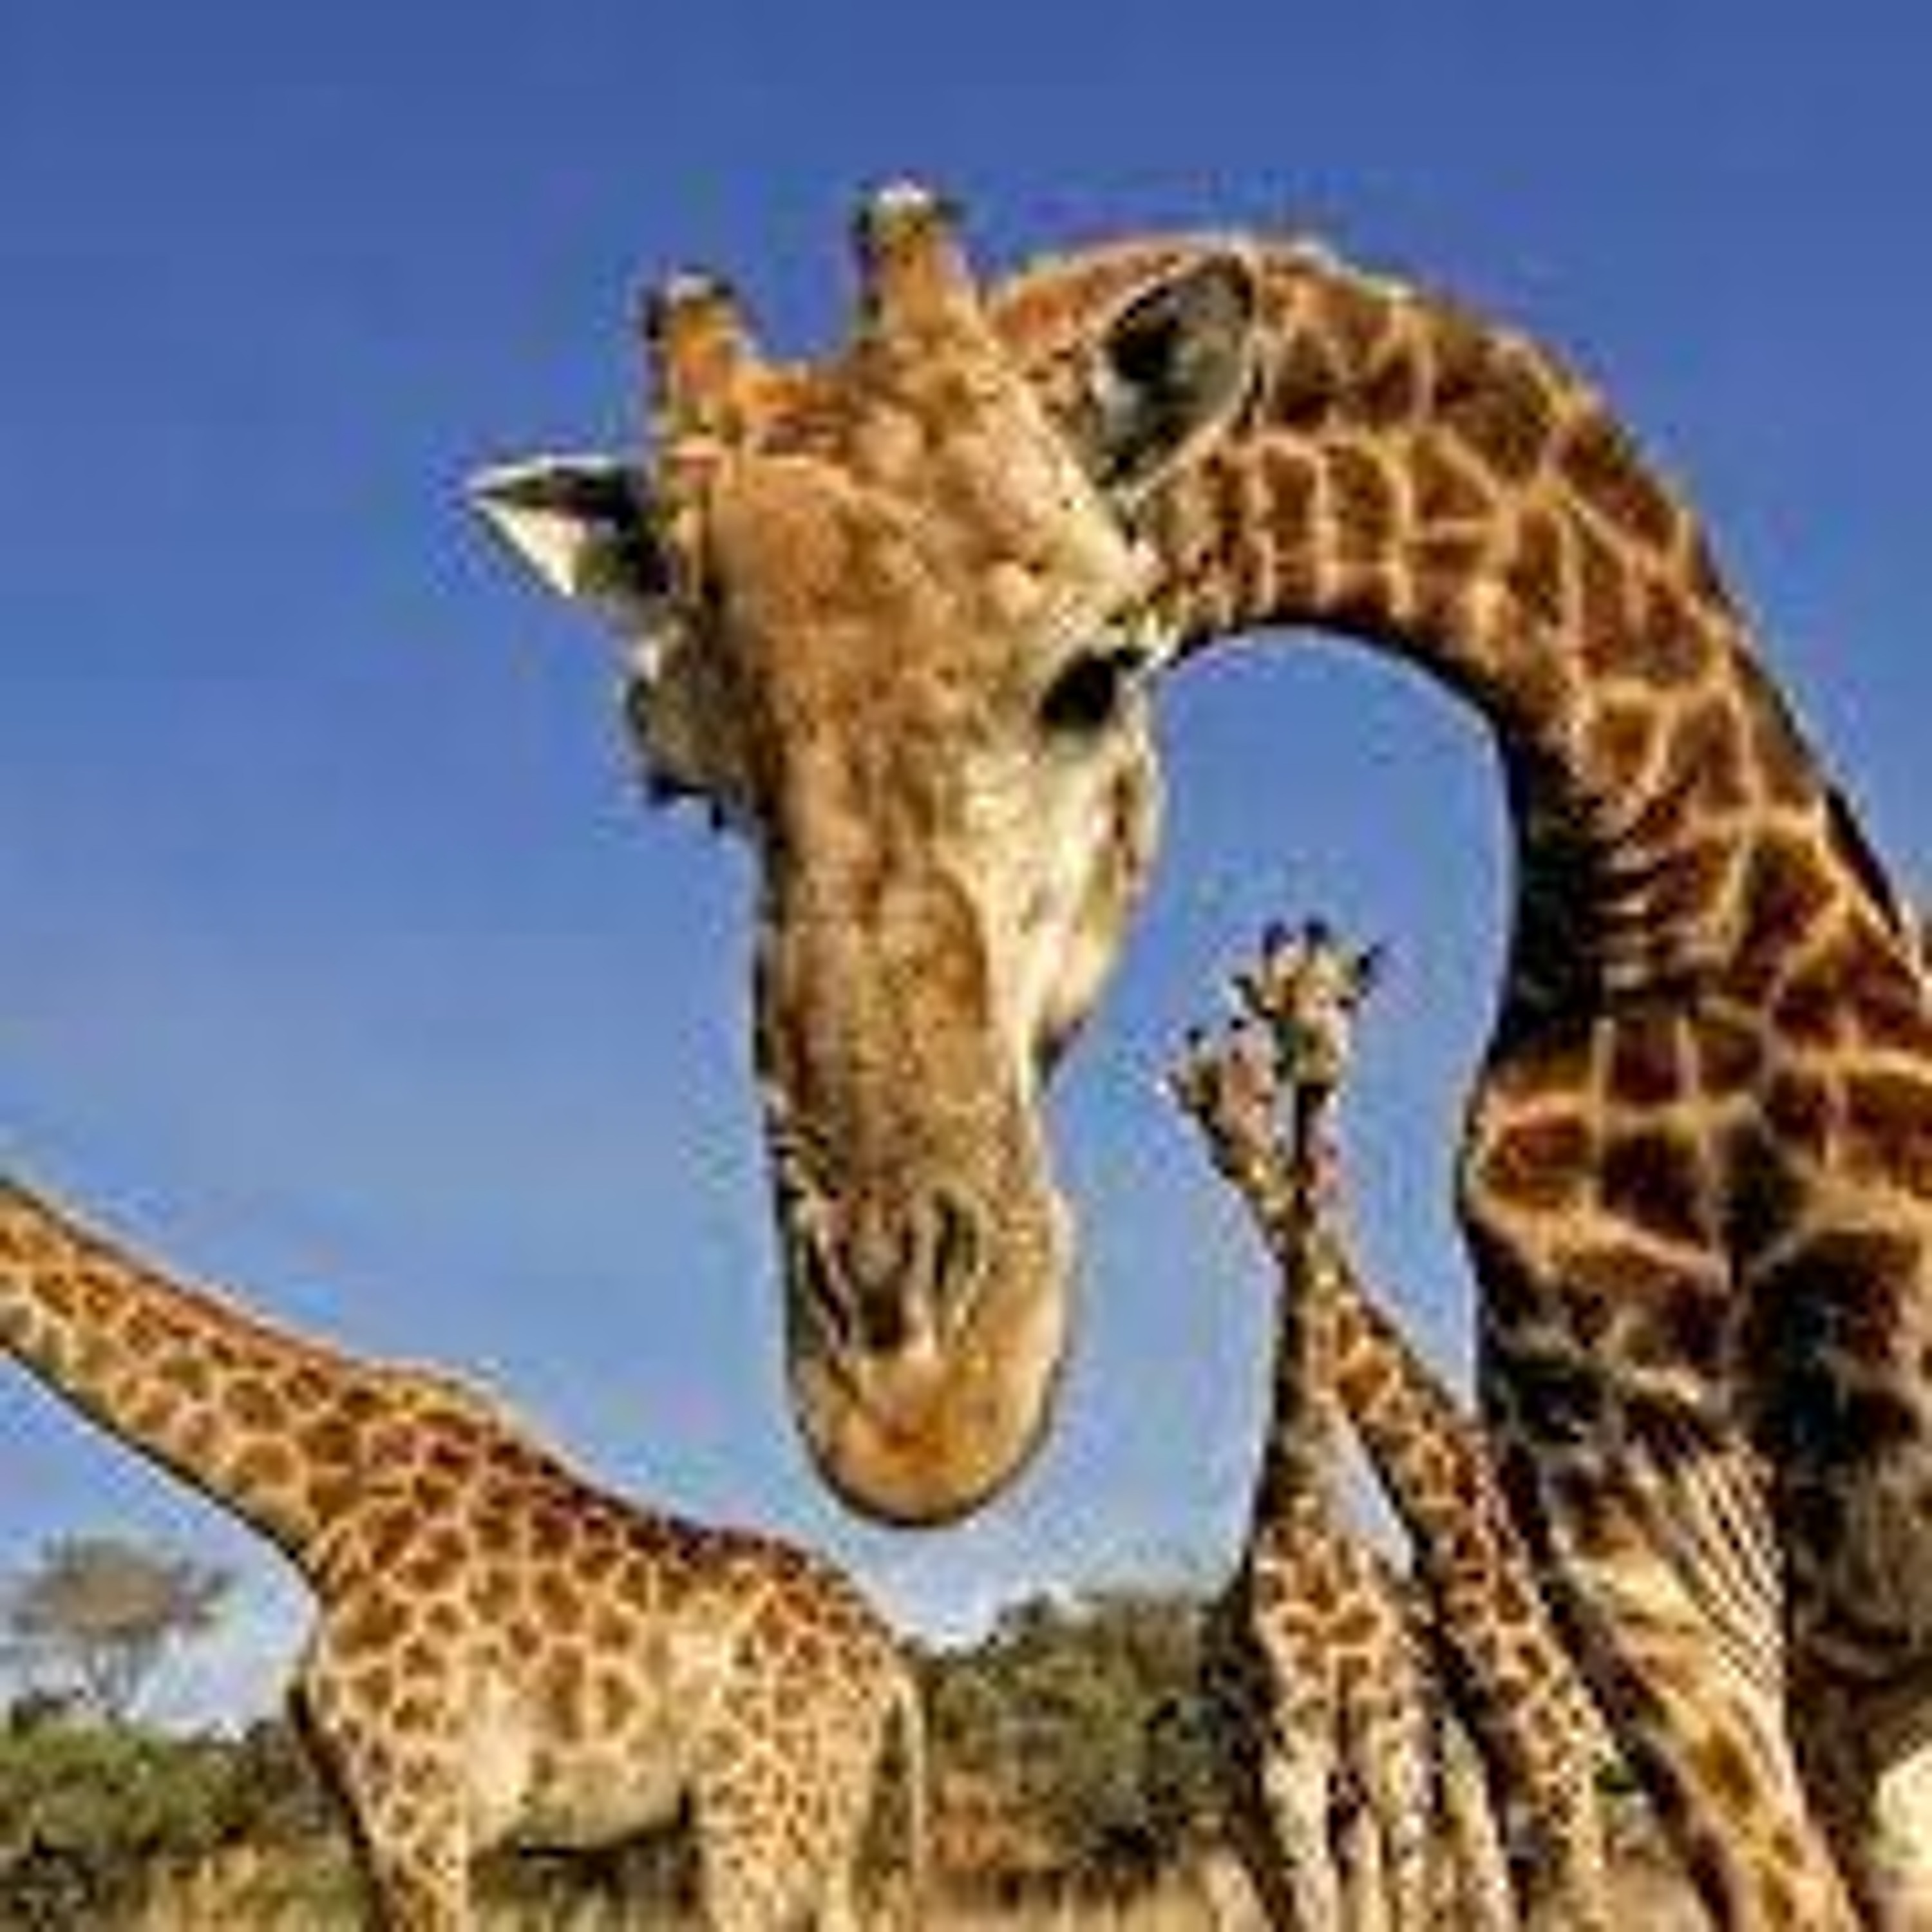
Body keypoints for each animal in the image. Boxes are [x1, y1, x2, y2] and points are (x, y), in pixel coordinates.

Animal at [0, 1174, 925, 1930]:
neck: (319, 1509)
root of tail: (889, 1667)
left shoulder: (419, 1808)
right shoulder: (365, 1817)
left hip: (753, 1820)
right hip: (821, 1833)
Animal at [1167, 937, 1511, 1931]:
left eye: (1346, 997)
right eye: (1203, 1093)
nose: (1317, 1059)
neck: (1303, 1510)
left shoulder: (1388, 1745)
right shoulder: (1290, 1756)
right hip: (1243, 1791)